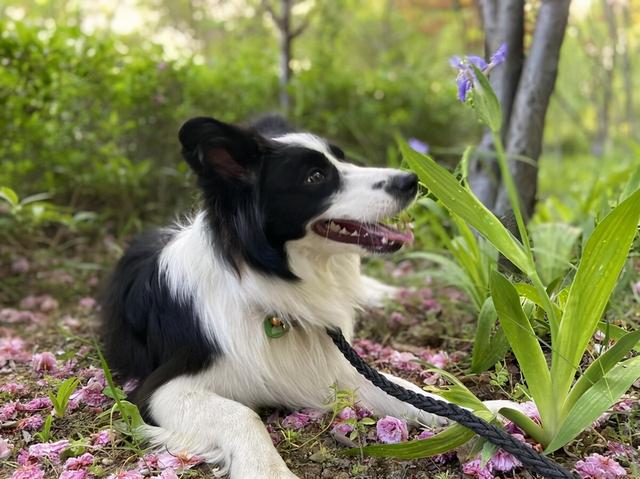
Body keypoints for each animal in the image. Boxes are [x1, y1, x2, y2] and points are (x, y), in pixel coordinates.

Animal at [102, 117, 508, 479]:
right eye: (315, 177)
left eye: (342, 159)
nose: (410, 180)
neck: (266, 283)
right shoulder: (159, 390)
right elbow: (241, 414)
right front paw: (268, 471)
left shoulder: (337, 367)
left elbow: (413, 391)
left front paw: (493, 409)